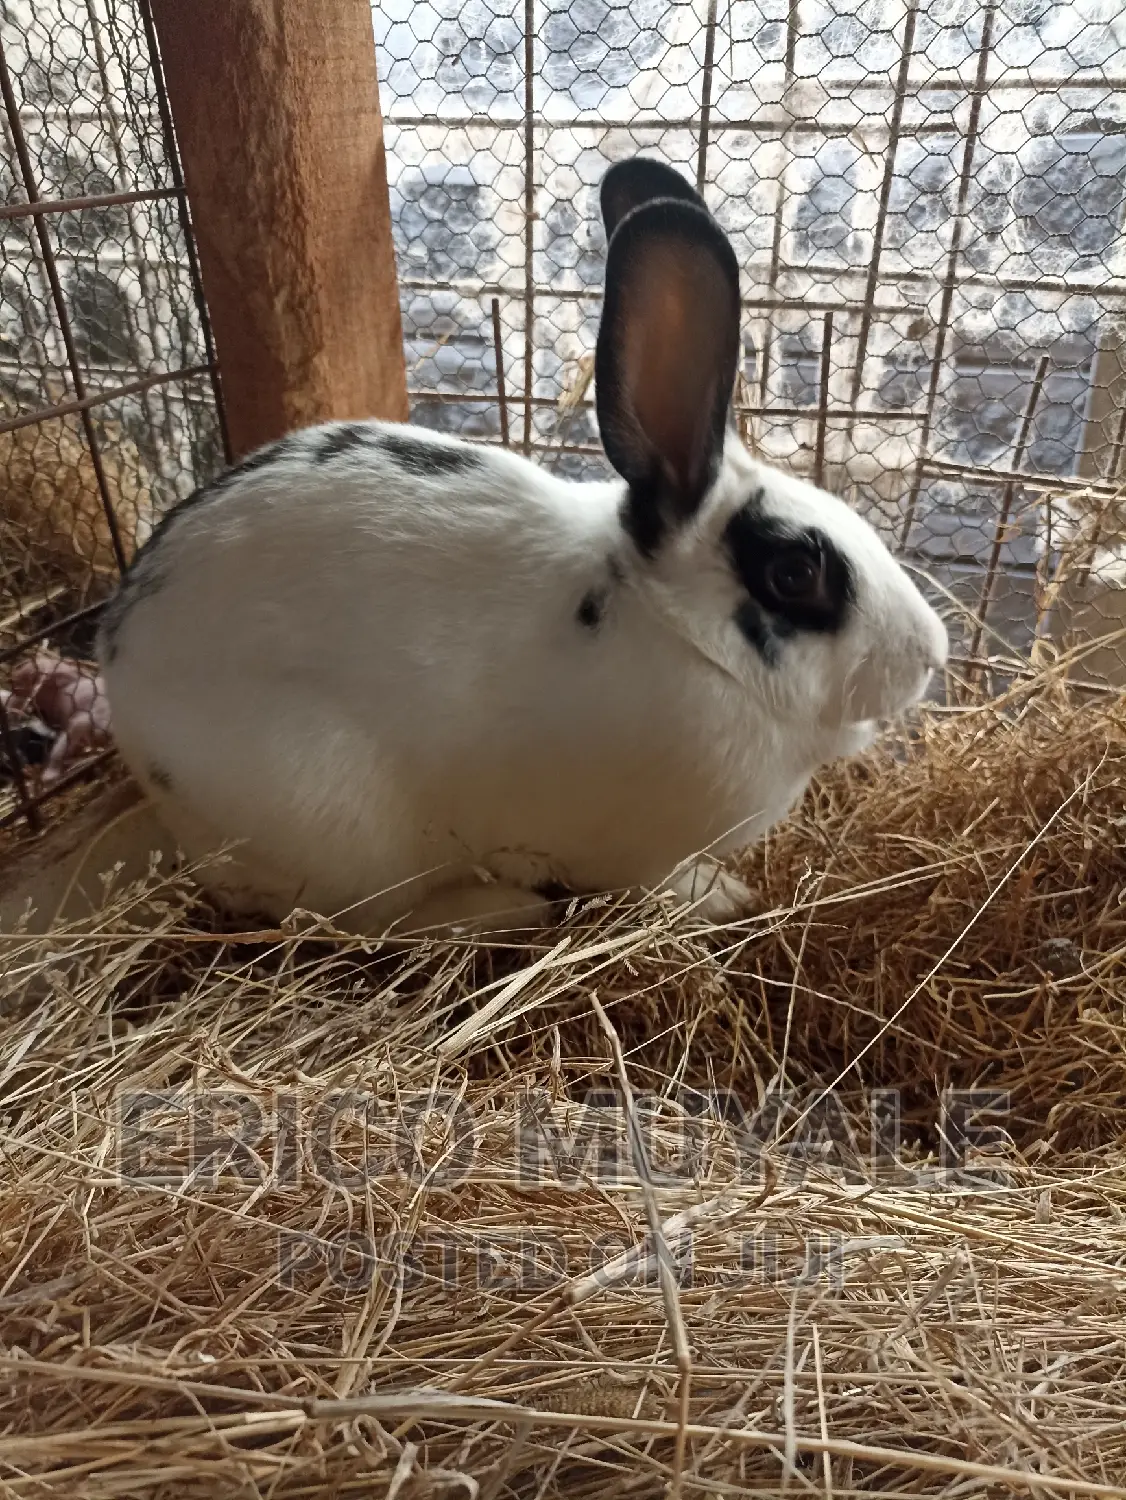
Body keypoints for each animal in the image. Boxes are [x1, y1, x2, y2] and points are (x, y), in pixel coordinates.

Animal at [97, 155, 948, 938]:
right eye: (796, 571)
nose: (931, 655)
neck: (672, 632)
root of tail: (121, 678)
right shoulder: (633, 852)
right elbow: (659, 882)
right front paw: (721, 896)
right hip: (336, 826)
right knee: (356, 920)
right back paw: (494, 910)